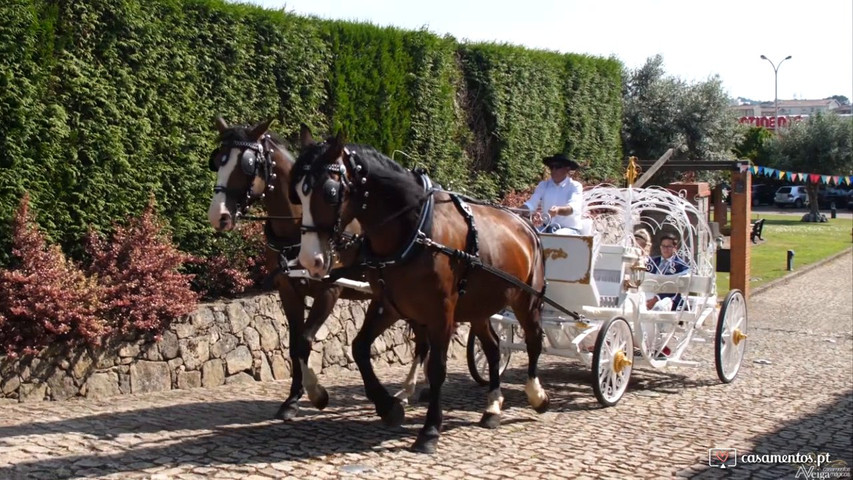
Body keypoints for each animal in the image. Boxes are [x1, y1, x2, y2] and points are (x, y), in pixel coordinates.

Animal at [206, 119, 430, 420]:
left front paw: (316, 393)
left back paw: (410, 390)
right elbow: (293, 344)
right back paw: (412, 389)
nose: (218, 215)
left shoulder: (329, 290)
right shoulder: (288, 290)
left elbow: (305, 340)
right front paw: (291, 400)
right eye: (218, 160)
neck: (299, 227)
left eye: (248, 164)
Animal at [290, 128, 548, 454]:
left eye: (330, 193)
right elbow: (359, 348)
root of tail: (527, 226)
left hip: (527, 300)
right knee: (492, 348)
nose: (309, 260)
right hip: (478, 307)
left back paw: (536, 394)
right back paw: (492, 407)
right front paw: (389, 406)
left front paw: (429, 430)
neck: (415, 229)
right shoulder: (389, 303)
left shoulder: (442, 312)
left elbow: (437, 368)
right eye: (297, 193)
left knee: (534, 340)